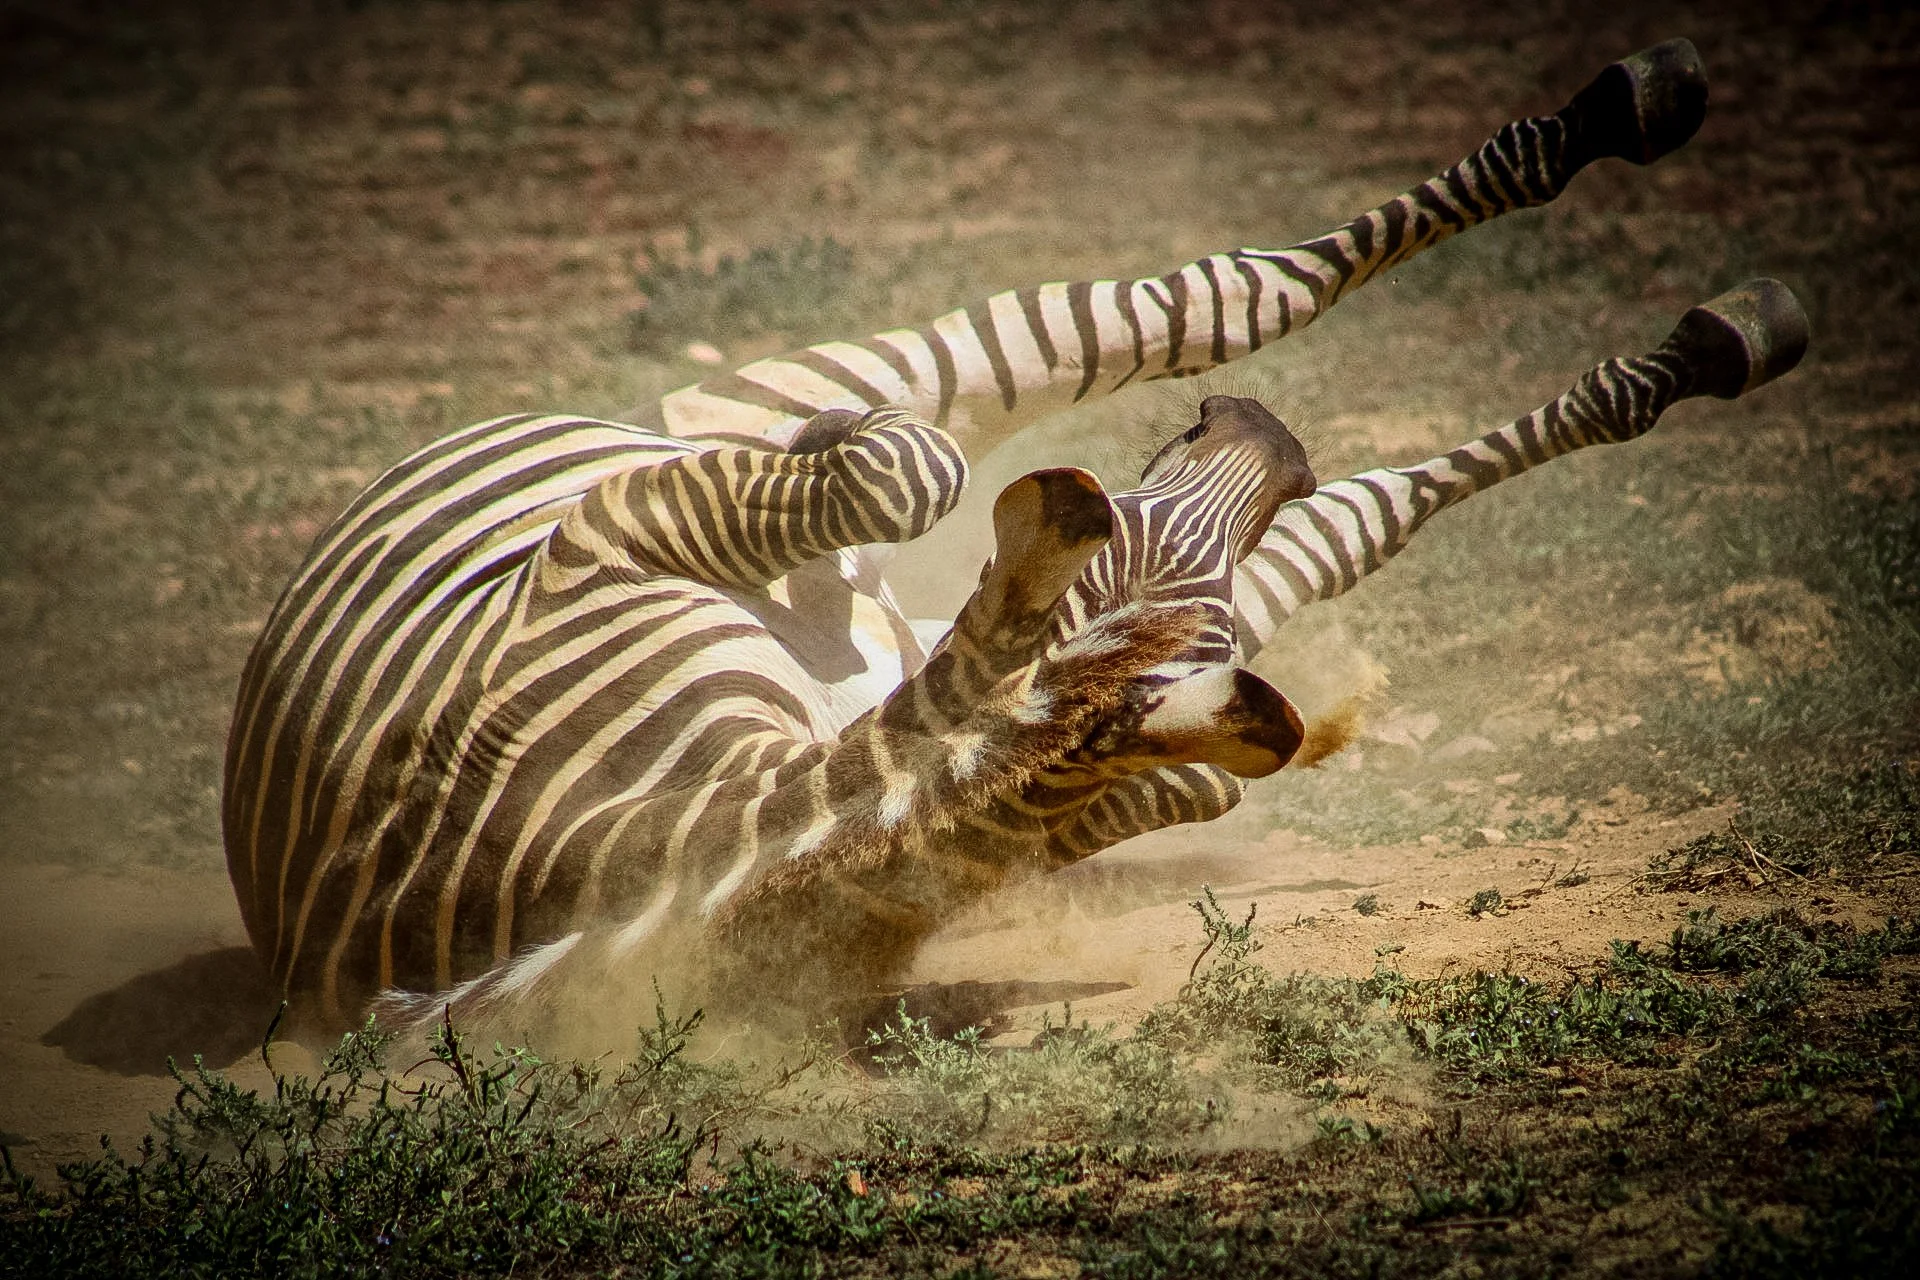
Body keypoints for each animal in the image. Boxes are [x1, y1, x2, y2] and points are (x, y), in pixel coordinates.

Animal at [223, 38, 1808, 1043]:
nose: (1265, 440)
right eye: (1112, 573)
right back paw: (1697, 291)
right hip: (797, 423)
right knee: (1246, 318)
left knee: (1248, 335)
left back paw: (1670, 231)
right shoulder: (622, 540)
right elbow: (927, 474)